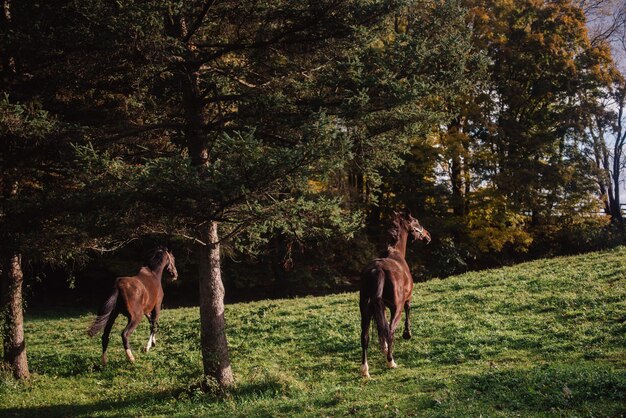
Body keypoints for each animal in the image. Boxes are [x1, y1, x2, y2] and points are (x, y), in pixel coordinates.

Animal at [356, 211, 428, 378]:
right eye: (416, 222)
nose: (428, 235)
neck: (396, 253)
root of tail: (378, 270)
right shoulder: (406, 299)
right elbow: (408, 310)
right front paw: (407, 334)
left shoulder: (379, 307)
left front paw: (383, 346)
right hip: (396, 309)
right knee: (390, 330)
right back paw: (391, 361)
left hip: (365, 309)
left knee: (365, 337)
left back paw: (365, 369)